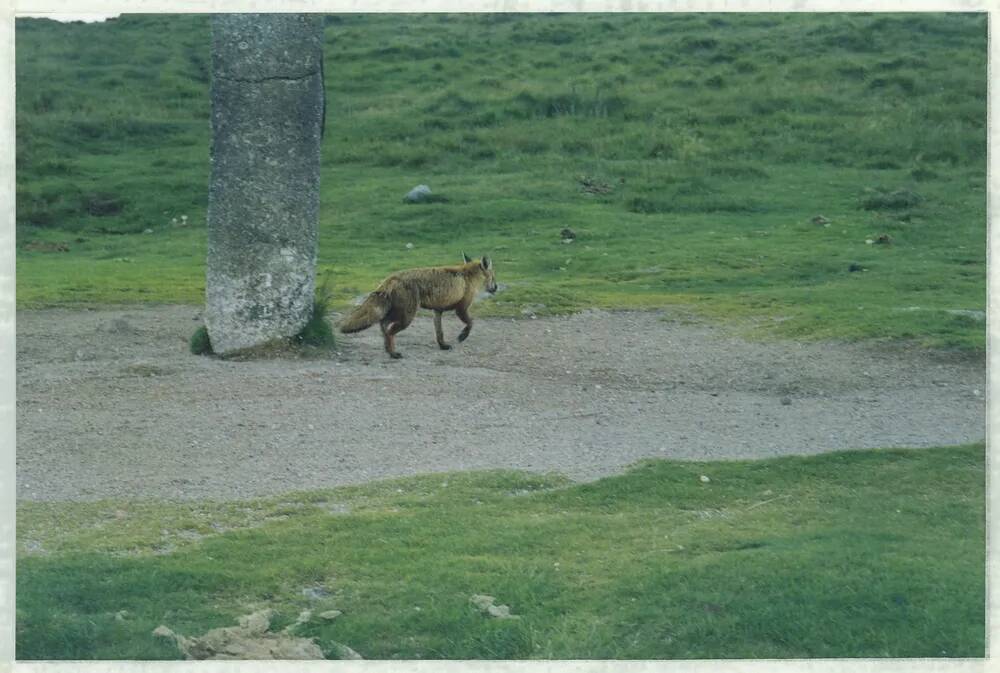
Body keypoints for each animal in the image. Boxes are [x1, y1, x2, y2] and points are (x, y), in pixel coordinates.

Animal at [342, 252, 498, 356]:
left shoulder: (438, 311)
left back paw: (388, 349)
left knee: (383, 325)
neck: (468, 276)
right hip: (407, 316)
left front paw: (443, 346)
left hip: (398, 313)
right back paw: (393, 354)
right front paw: (462, 336)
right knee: (389, 330)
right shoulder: (461, 308)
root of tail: (391, 277)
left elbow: (439, 332)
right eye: (494, 277)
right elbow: (471, 323)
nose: (496, 288)